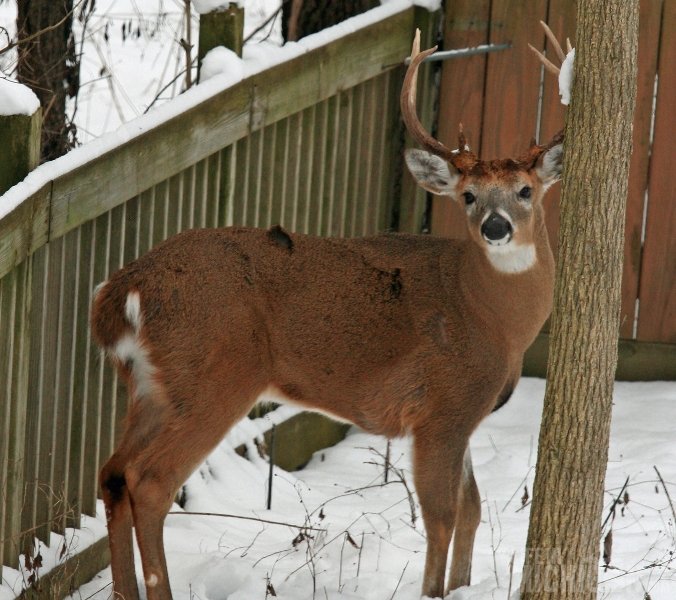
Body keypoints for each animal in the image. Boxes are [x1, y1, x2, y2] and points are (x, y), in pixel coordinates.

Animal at [92, 31, 564, 600]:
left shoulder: (466, 414)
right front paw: (434, 590)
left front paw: (462, 586)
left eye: (525, 190)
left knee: (113, 473)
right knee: (150, 481)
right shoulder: (441, 408)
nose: (496, 227)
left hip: (149, 387)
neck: (490, 318)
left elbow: (472, 509)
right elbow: (442, 515)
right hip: (213, 376)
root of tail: (122, 291)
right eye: (468, 195)